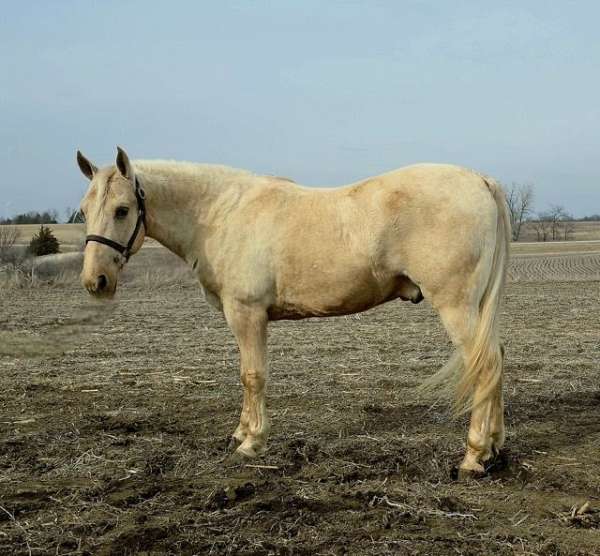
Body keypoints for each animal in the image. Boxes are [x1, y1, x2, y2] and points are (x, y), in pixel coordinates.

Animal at [77, 148, 508, 478]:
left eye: (122, 210)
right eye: (84, 209)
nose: (95, 281)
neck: (220, 215)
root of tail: (480, 180)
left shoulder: (247, 314)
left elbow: (253, 376)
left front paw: (252, 443)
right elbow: (245, 376)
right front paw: (240, 433)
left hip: (455, 306)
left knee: (484, 365)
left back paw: (472, 457)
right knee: (495, 362)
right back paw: (494, 446)